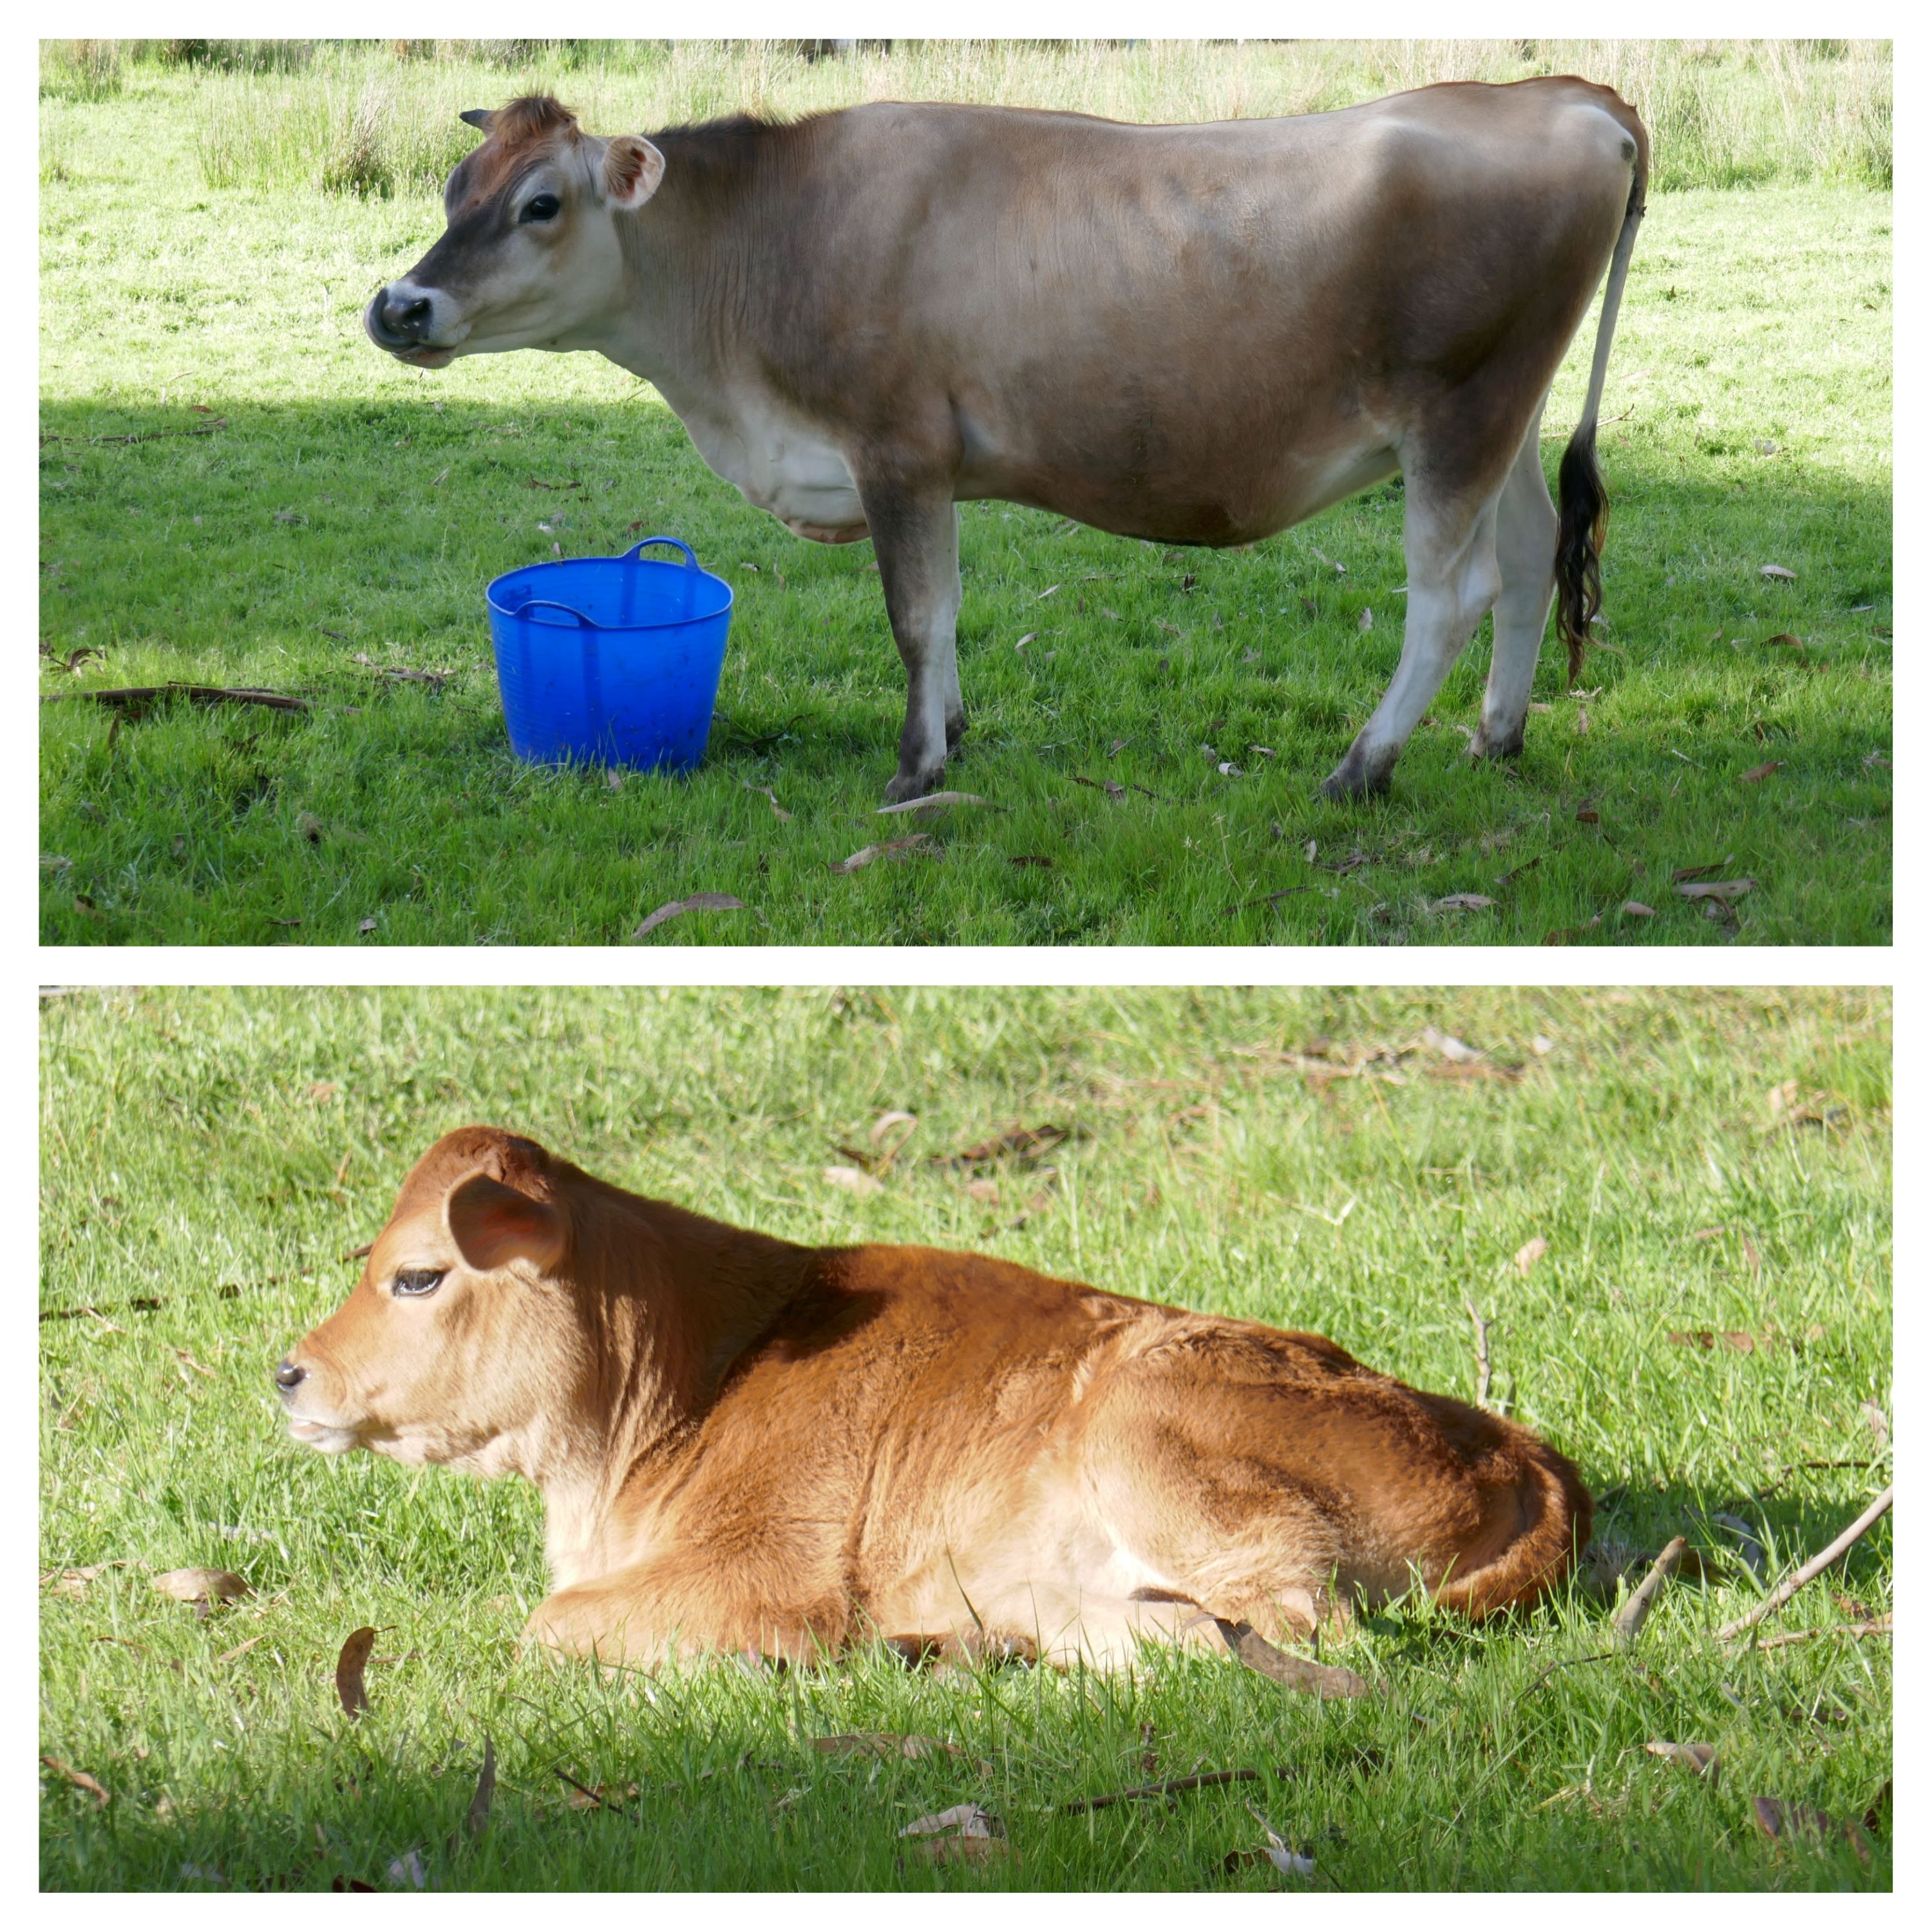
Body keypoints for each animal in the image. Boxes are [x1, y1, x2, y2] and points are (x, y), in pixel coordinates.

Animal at [276, 1126, 1592, 1669]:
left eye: (418, 1273)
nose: (289, 1372)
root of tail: (1517, 1449)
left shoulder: (767, 1569)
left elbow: (547, 1629)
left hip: (1157, 1442)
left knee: (1290, 1630)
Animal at [366, 81, 1646, 805]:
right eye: (452, 186)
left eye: (541, 203)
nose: (398, 307)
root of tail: (1571, 94)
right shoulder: (928, 470)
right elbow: (947, 611)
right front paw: (955, 732)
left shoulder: (894, 448)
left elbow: (913, 615)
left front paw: (915, 768)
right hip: (1507, 416)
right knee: (1529, 556)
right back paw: (1497, 738)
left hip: (1458, 413)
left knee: (1452, 594)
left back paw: (1360, 769)